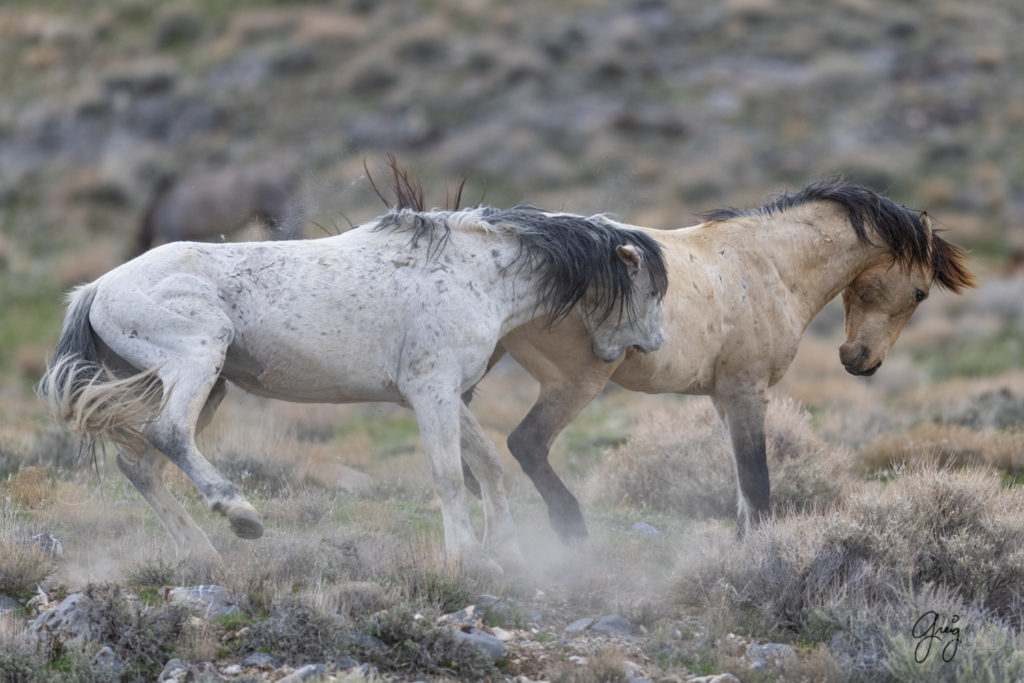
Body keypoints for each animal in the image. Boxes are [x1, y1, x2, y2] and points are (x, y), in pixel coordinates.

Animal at [39, 205, 667, 569]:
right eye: (650, 287)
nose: (657, 342)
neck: (477, 272)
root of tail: (98, 288)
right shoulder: (432, 392)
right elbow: (448, 474)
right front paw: (466, 555)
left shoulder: (444, 393)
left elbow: (487, 463)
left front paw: (506, 550)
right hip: (195, 362)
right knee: (169, 435)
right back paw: (240, 515)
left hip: (196, 385)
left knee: (141, 464)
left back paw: (201, 552)